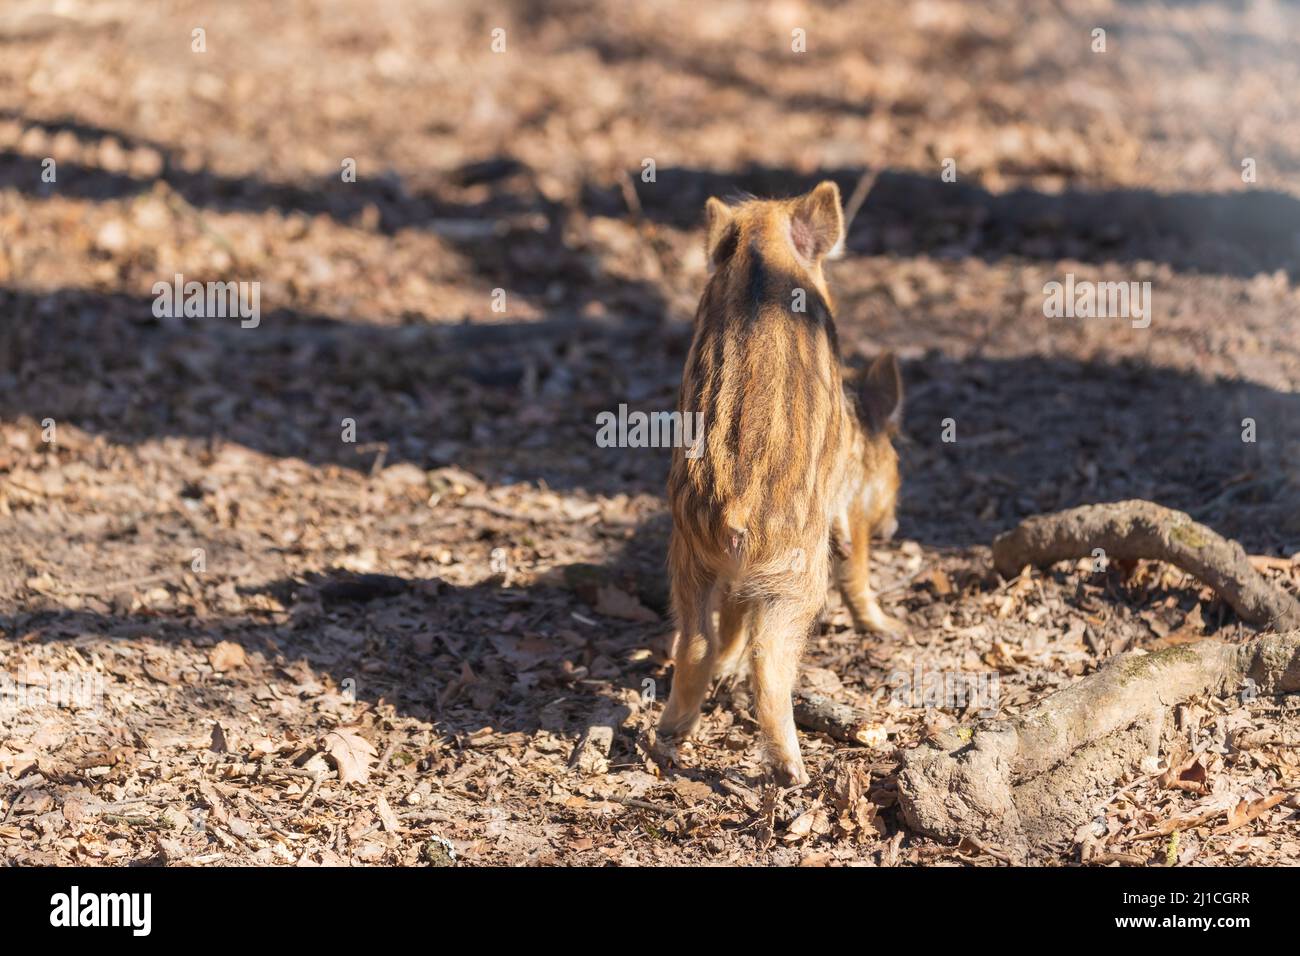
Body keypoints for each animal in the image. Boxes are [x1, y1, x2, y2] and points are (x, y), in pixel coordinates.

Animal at [658, 181, 904, 786]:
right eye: (893, 460)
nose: (893, 526)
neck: (761, 250)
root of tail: (732, 513)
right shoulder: (847, 507)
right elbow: (856, 568)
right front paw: (888, 628)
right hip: (796, 576)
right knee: (767, 659)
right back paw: (794, 771)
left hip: (688, 560)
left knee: (695, 642)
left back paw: (669, 734)